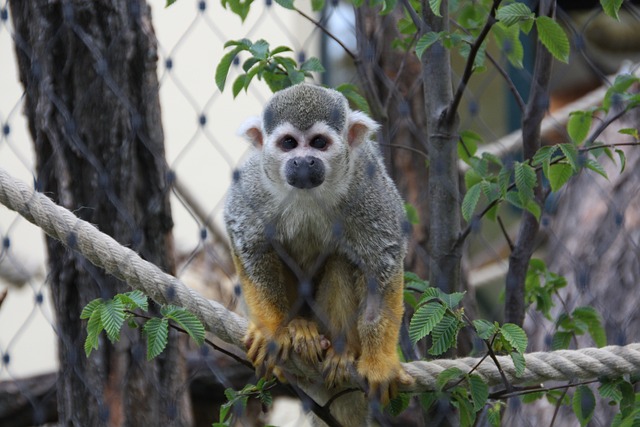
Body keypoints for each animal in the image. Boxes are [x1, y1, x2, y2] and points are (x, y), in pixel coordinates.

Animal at [225, 84, 412, 414]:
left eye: (319, 143)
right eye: (289, 143)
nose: (303, 161)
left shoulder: (366, 181)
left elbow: (380, 259)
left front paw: (380, 361)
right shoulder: (254, 180)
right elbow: (249, 240)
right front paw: (272, 329)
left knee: (342, 259)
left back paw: (341, 350)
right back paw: (299, 328)